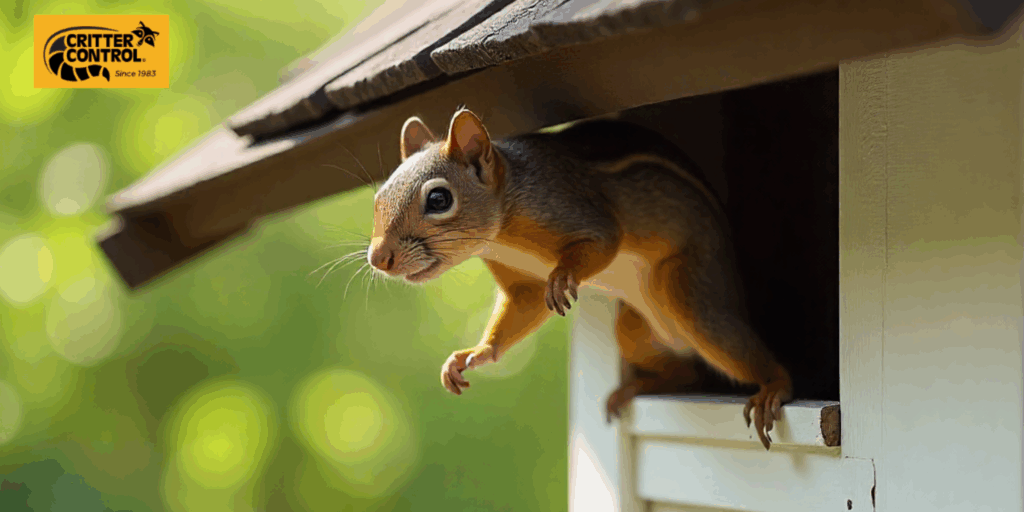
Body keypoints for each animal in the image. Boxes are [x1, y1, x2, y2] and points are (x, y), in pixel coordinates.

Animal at [366, 108, 792, 450]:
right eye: (377, 199)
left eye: (439, 200)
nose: (378, 258)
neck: (502, 233)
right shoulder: (521, 282)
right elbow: (522, 304)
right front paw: (473, 354)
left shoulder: (568, 205)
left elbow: (604, 240)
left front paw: (562, 276)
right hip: (633, 332)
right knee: (686, 374)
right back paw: (633, 389)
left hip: (692, 299)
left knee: (729, 344)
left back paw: (773, 388)